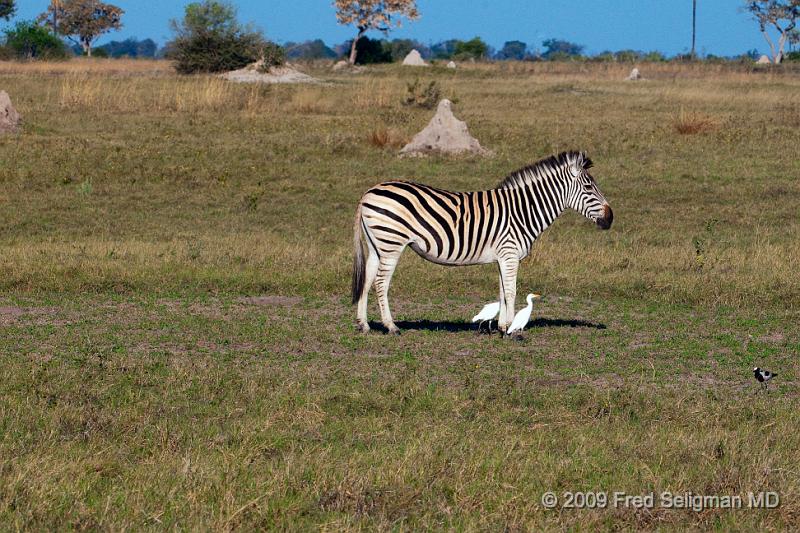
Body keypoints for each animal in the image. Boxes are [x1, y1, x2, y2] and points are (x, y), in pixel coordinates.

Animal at [350, 150, 612, 332]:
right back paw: (391, 327)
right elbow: (511, 291)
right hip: (391, 244)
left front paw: (502, 326)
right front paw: (511, 329)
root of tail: (369, 192)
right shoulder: (509, 254)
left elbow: (502, 291)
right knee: (380, 283)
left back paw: (364, 325)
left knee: (367, 279)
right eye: (589, 187)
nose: (610, 218)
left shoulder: (503, 257)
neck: (523, 210)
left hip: (377, 245)